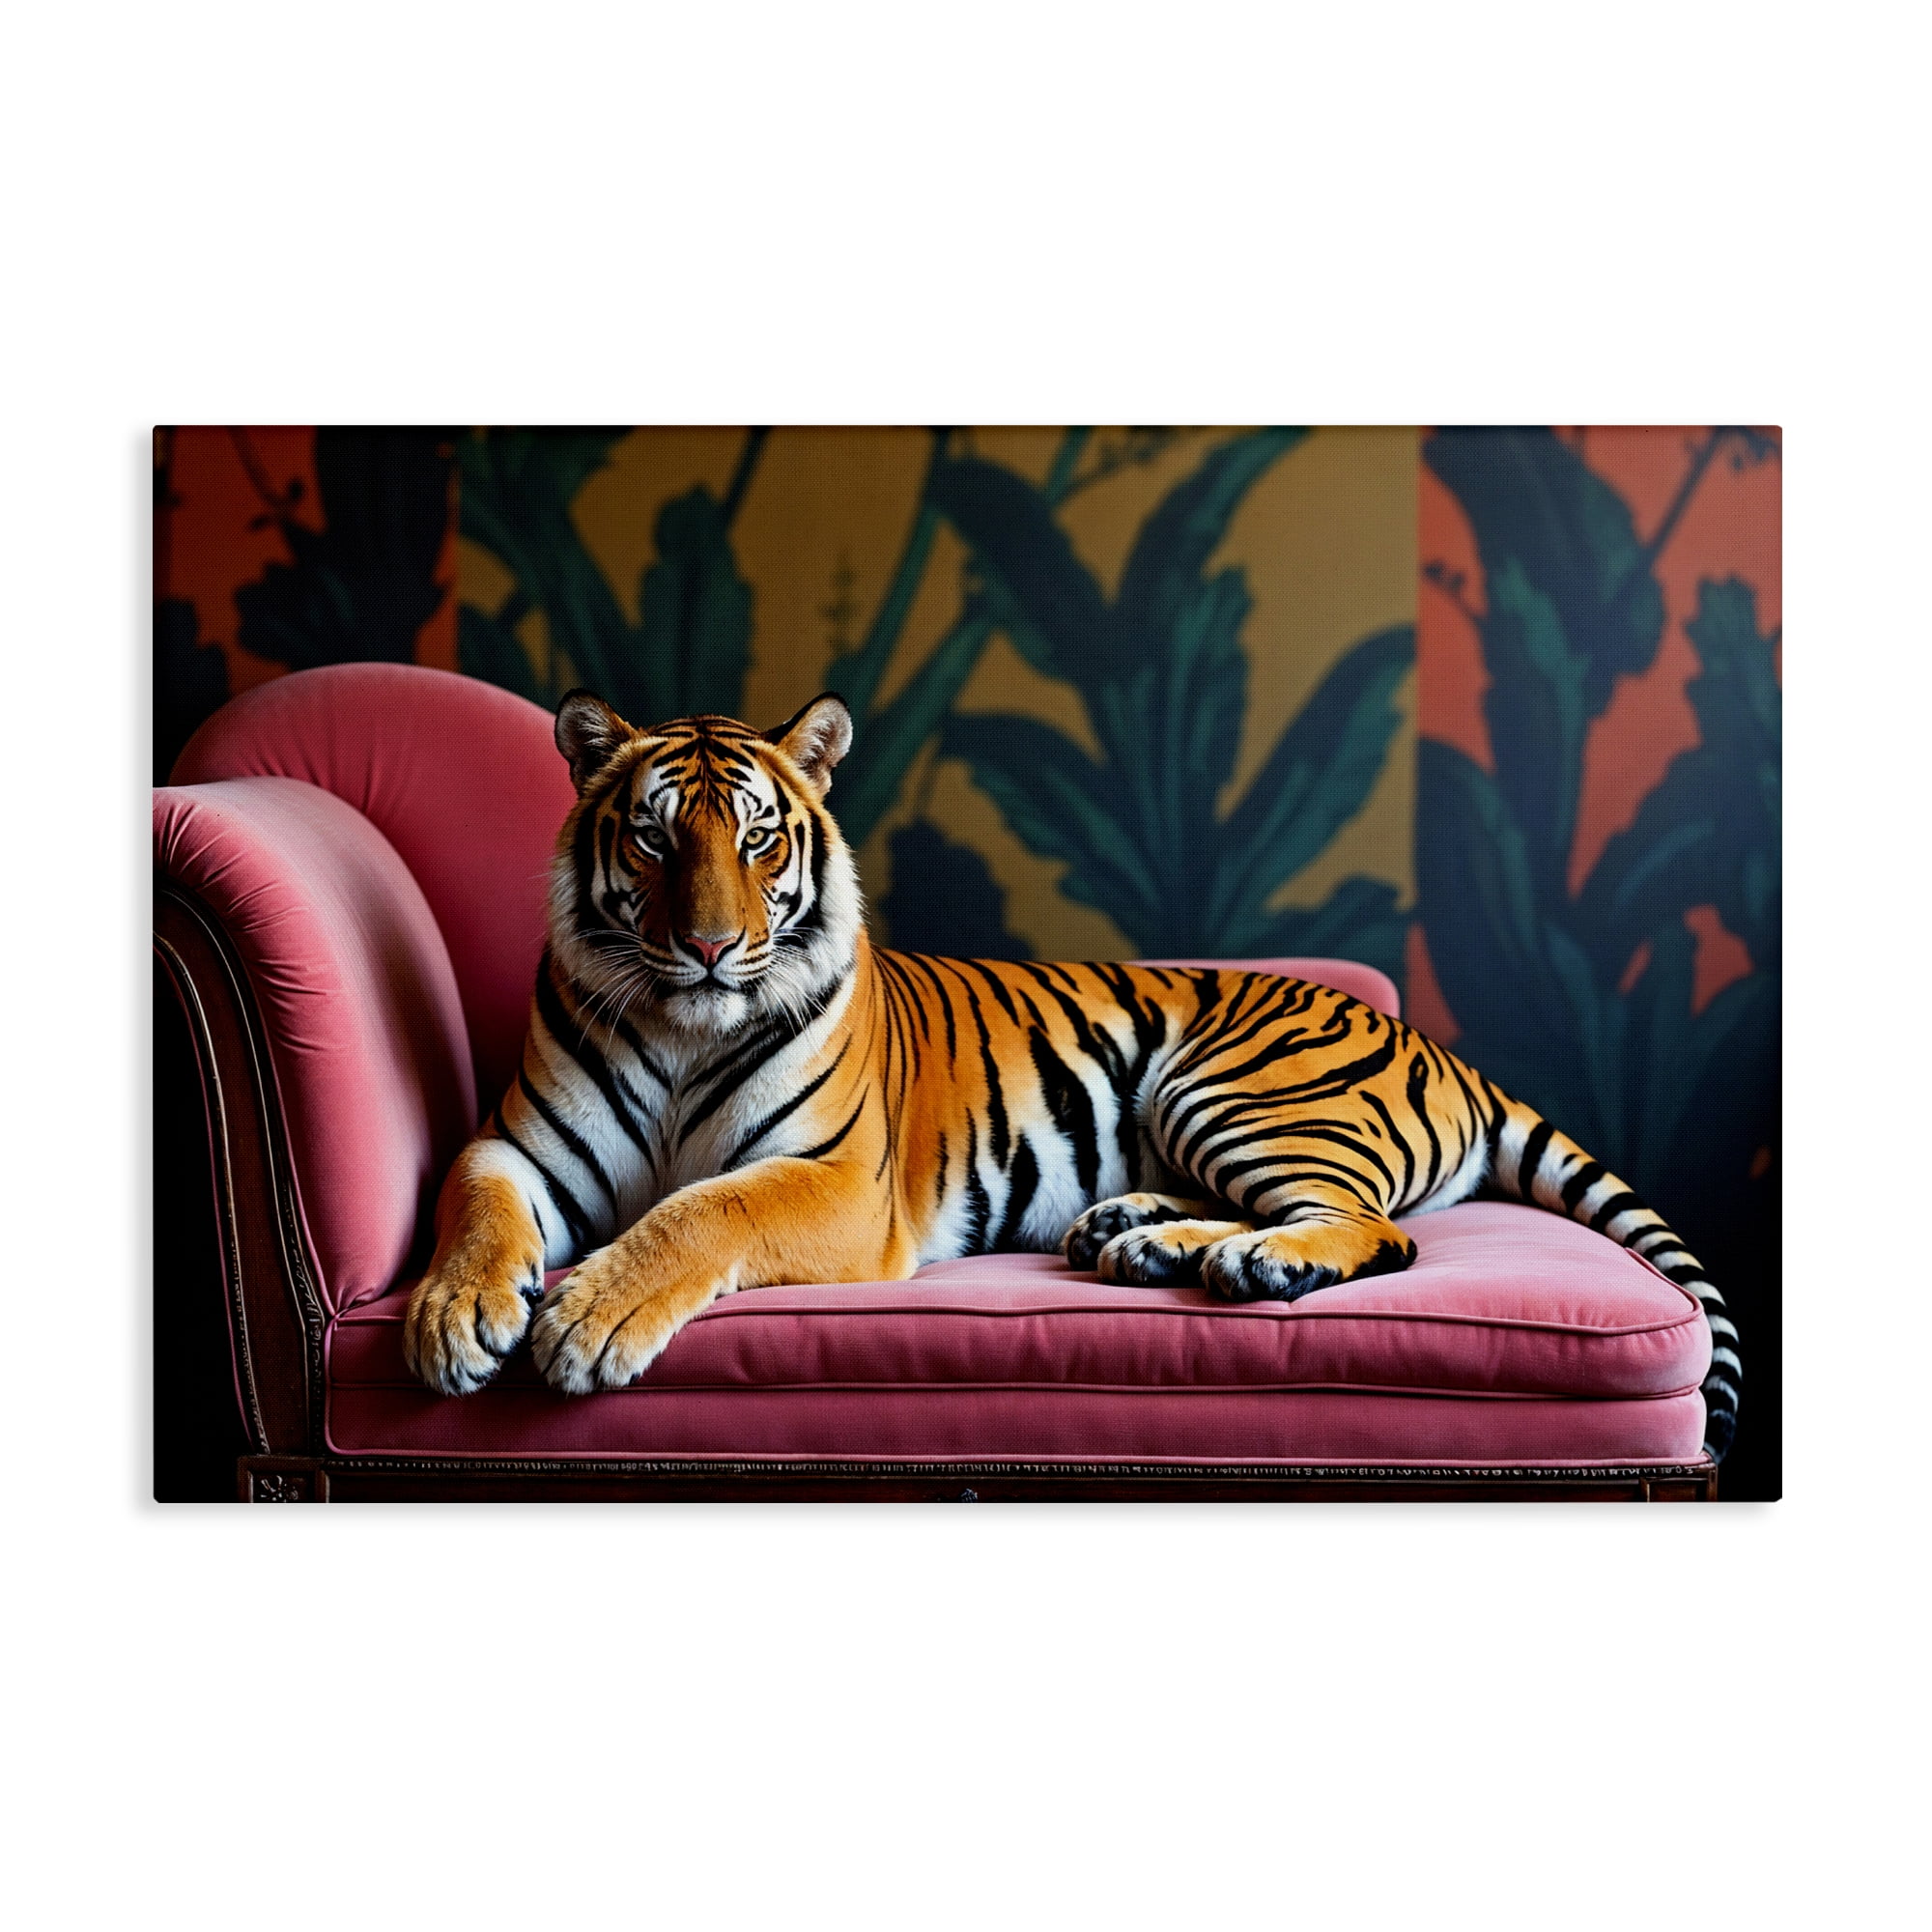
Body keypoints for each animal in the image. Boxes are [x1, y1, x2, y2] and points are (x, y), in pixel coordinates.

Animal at [402, 689, 1742, 1461]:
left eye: (759, 838)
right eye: (650, 835)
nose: (709, 946)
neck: (680, 1028)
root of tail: (1431, 1040)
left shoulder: (831, 1179)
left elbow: (700, 1210)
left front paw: (585, 1320)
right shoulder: (516, 1144)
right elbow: (472, 1204)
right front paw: (450, 1318)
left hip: (1228, 1086)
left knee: (1375, 1227)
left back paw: (1251, 1262)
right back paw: (1140, 1236)